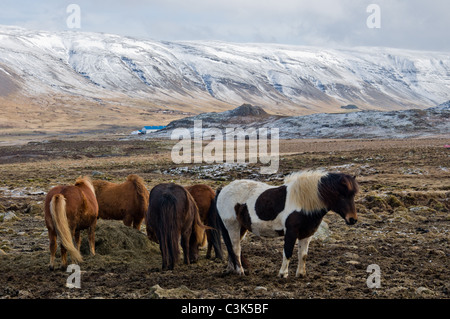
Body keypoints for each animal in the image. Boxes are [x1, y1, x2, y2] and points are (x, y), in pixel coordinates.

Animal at [214, 170, 358, 278]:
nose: (353, 220)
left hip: (241, 228)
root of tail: (222, 190)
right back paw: (240, 272)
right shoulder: (291, 232)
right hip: (233, 227)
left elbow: (303, 255)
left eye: (353, 195)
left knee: (231, 248)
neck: (303, 202)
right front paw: (283, 274)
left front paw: (301, 274)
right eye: (342, 195)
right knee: (235, 249)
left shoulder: (307, 233)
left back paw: (231, 269)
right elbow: (287, 252)